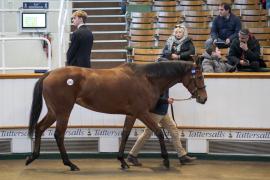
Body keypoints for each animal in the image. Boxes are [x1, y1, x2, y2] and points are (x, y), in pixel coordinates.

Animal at [25, 59, 207, 171]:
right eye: (199, 76)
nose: (203, 98)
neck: (146, 78)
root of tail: (49, 74)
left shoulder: (132, 114)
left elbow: (125, 134)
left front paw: (123, 161)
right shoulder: (142, 112)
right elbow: (158, 132)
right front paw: (166, 160)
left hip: (53, 112)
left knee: (39, 128)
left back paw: (33, 157)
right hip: (63, 111)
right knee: (58, 135)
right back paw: (70, 164)